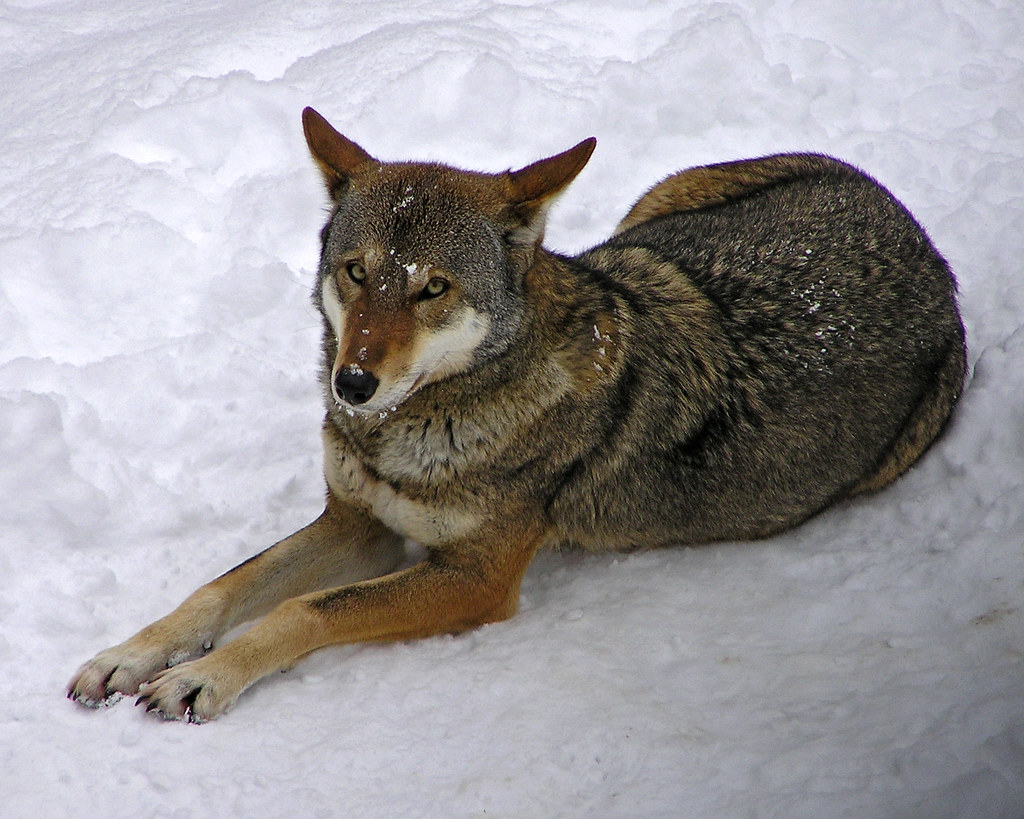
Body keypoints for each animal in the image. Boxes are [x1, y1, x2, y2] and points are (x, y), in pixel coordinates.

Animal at [67, 107, 966, 721]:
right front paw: (129, 655)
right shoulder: (357, 524)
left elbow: (298, 609)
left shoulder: (476, 576)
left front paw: (200, 677)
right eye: (357, 272)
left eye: (432, 288)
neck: (412, 431)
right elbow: (217, 590)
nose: (352, 383)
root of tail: (921, 240)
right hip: (645, 216)